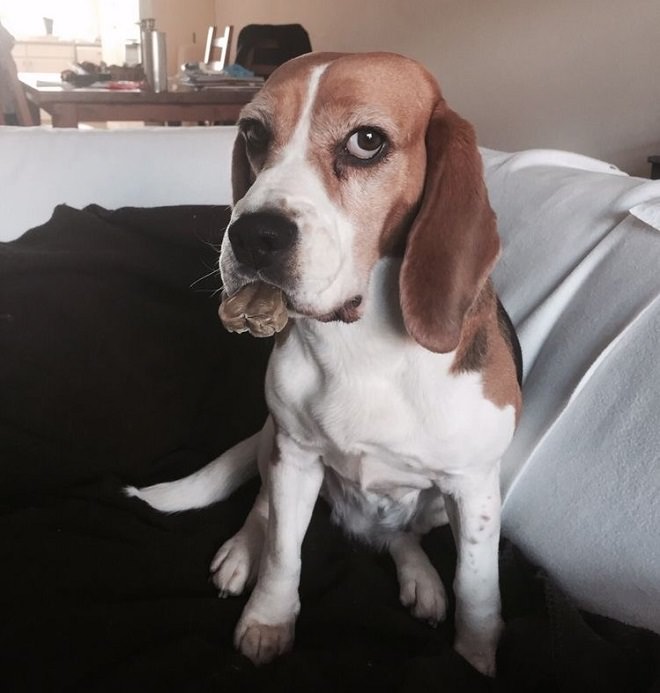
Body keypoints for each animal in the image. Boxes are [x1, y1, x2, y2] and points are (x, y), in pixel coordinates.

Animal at [127, 52, 520, 676]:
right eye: (253, 134)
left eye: (366, 141)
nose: (251, 236)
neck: (360, 344)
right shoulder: (296, 457)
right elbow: (283, 552)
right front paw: (267, 622)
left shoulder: (474, 488)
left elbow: (477, 588)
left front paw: (475, 657)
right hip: (275, 443)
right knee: (263, 506)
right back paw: (242, 551)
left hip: (438, 506)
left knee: (400, 536)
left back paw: (421, 578)